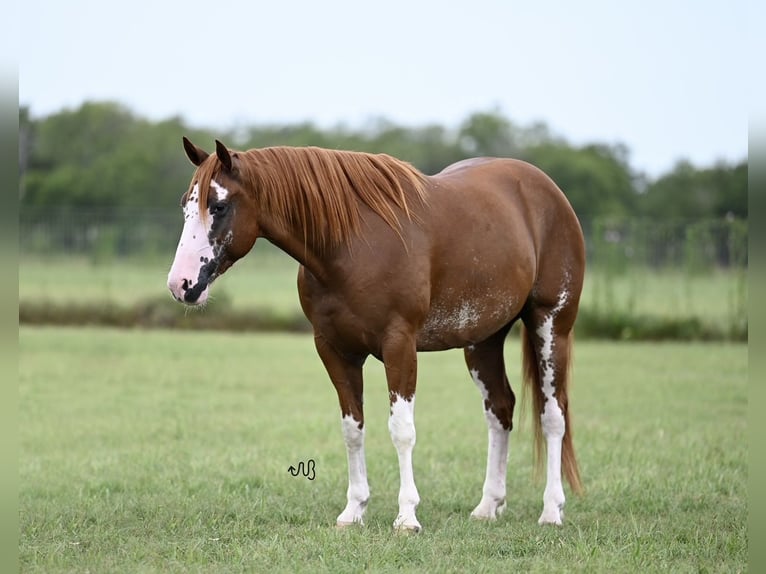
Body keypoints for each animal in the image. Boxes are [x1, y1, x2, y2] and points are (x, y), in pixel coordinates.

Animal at [170, 137, 588, 532]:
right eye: (186, 206)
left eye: (218, 206)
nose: (180, 285)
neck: (351, 244)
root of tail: (546, 190)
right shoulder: (334, 350)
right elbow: (352, 429)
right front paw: (353, 511)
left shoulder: (399, 345)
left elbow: (401, 430)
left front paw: (406, 517)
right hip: (483, 338)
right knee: (500, 409)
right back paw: (488, 506)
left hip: (551, 324)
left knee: (553, 414)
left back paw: (552, 510)